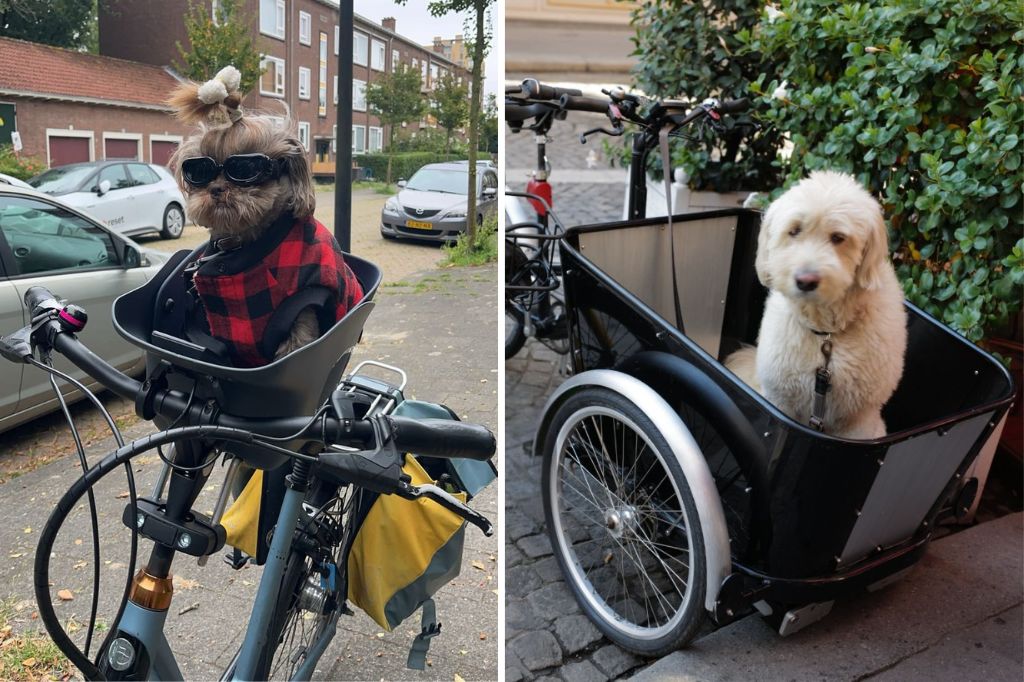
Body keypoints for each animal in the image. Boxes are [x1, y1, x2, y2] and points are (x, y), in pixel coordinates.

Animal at [724, 168, 909, 436]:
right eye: (794, 231)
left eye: (838, 237)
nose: (806, 281)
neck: (826, 335)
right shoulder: (780, 402)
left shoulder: (859, 420)